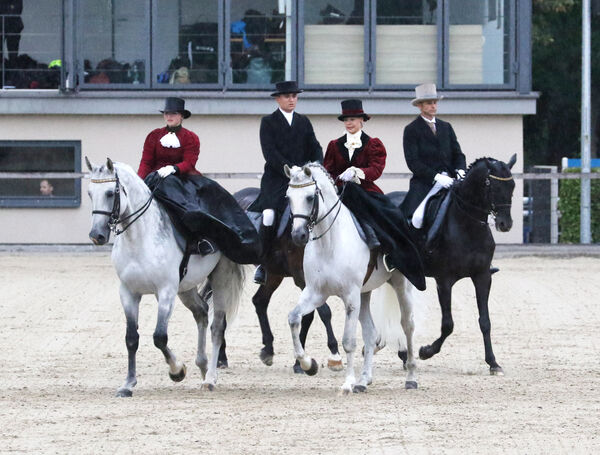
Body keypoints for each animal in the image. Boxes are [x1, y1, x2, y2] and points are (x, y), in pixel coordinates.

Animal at [85, 159, 244, 398]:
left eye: (110, 193)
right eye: (89, 193)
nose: (97, 236)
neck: (139, 239)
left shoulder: (166, 292)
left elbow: (159, 337)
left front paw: (177, 371)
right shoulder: (128, 293)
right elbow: (131, 338)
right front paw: (128, 384)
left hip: (221, 279)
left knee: (217, 327)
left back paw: (210, 379)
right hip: (186, 289)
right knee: (201, 313)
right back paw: (203, 365)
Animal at [284, 164, 418, 396]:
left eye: (310, 197)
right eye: (288, 197)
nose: (298, 235)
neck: (329, 244)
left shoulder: (350, 296)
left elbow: (348, 341)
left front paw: (347, 383)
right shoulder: (315, 293)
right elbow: (294, 318)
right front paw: (309, 365)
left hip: (401, 286)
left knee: (407, 326)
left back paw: (410, 377)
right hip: (364, 294)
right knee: (371, 332)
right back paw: (364, 380)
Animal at [392, 153, 516, 374]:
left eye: (512, 186)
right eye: (492, 185)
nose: (505, 224)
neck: (467, 224)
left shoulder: (482, 276)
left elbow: (485, 321)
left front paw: (493, 363)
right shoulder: (444, 280)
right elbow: (448, 324)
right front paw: (426, 351)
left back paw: (402, 354)